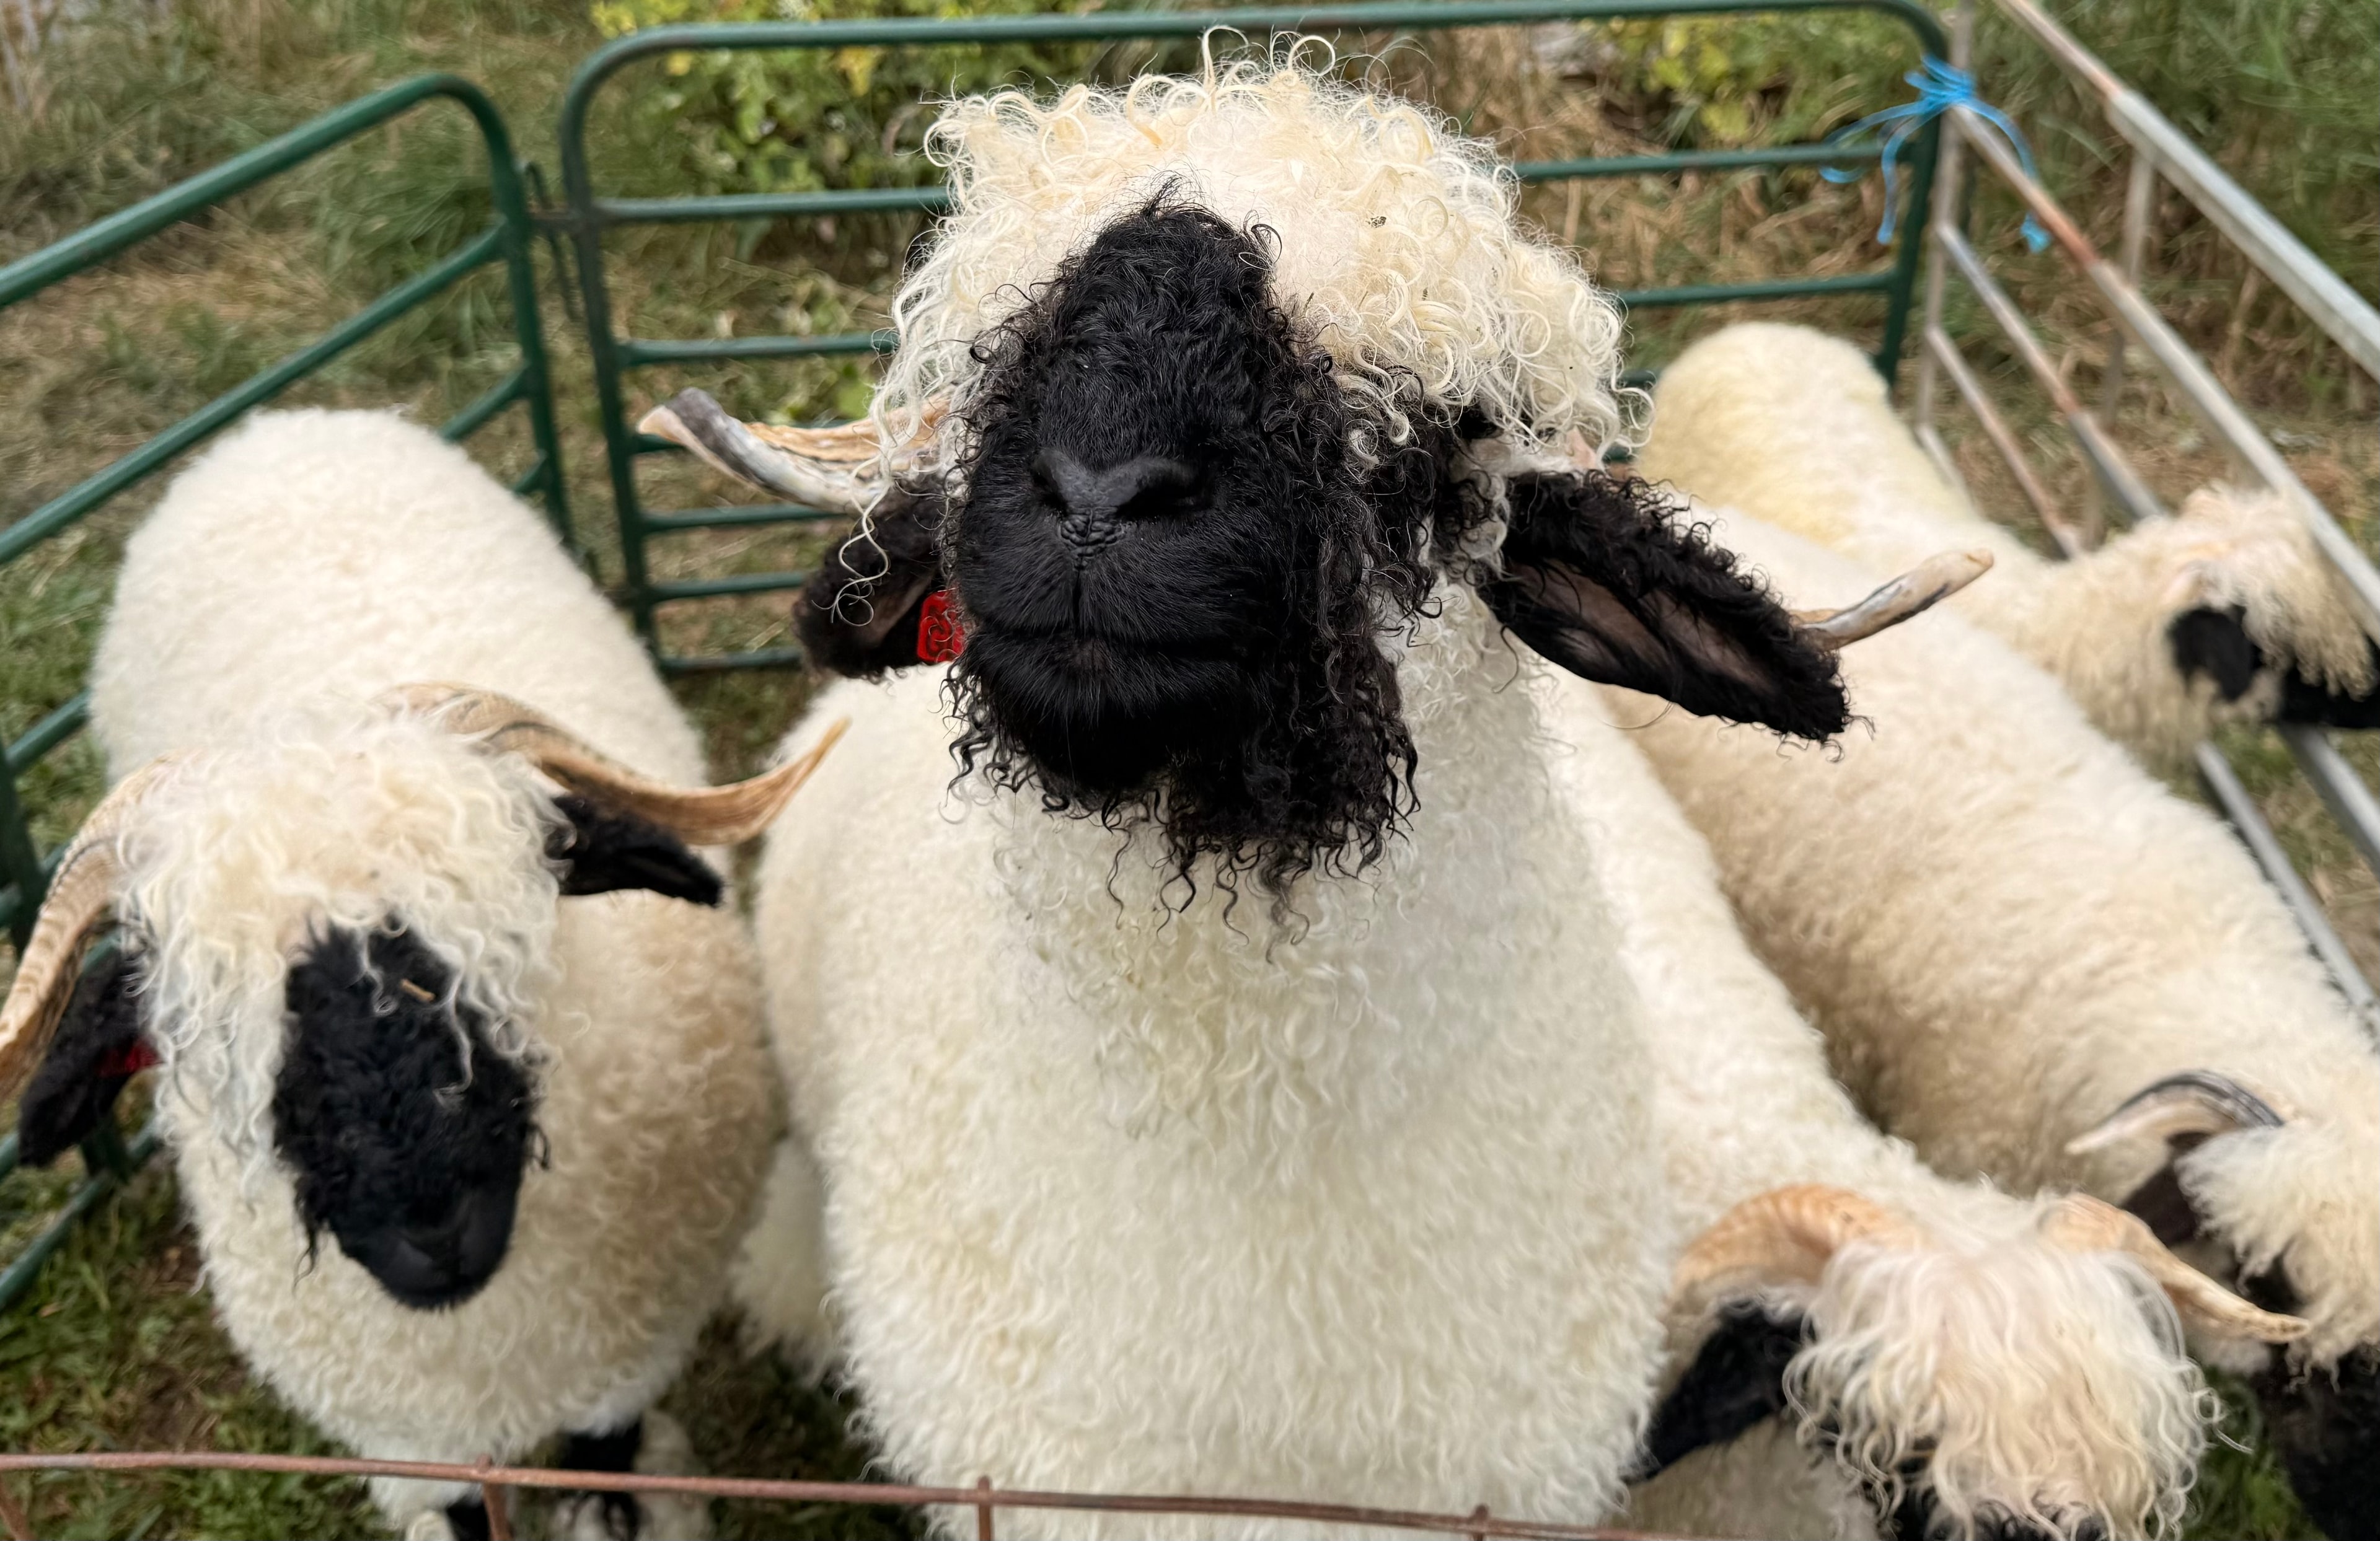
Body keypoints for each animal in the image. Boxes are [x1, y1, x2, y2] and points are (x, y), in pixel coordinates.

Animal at [0, 409, 837, 1541]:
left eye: (493, 943)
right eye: (213, 1025)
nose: (434, 1232)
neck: (483, 1334)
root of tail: (280, 423)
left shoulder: (624, 1357)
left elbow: (610, 1456)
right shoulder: (412, 1428)